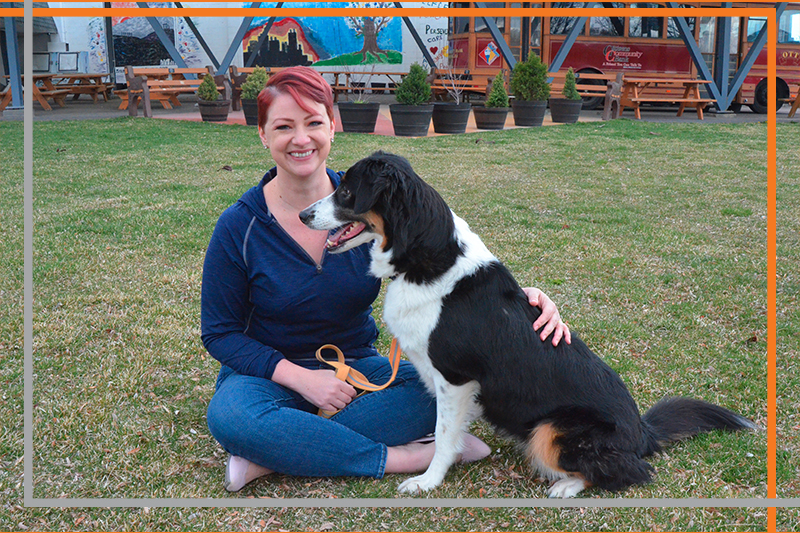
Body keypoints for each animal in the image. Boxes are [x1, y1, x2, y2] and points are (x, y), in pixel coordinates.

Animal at [298, 151, 756, 498]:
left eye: (345, 190)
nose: (302, 214)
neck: (425, 257)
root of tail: (642, 431)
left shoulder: (455, 380)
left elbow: (443, 437)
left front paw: (427, 481)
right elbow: (447, 434)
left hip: (551, 430)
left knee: (632, 472)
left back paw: (568, 486)